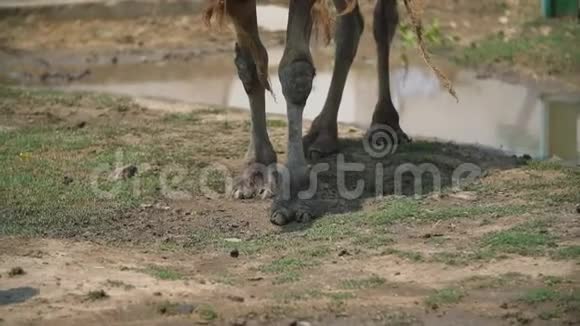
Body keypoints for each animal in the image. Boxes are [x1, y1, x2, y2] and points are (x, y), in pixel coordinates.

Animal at [206, 0, 420, 225]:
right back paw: (323, 135)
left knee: (383, 20)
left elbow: (295, 70)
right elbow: (249, 63)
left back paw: (384, 122)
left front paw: (293, 195)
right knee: (351, 25)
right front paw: (255, 171)